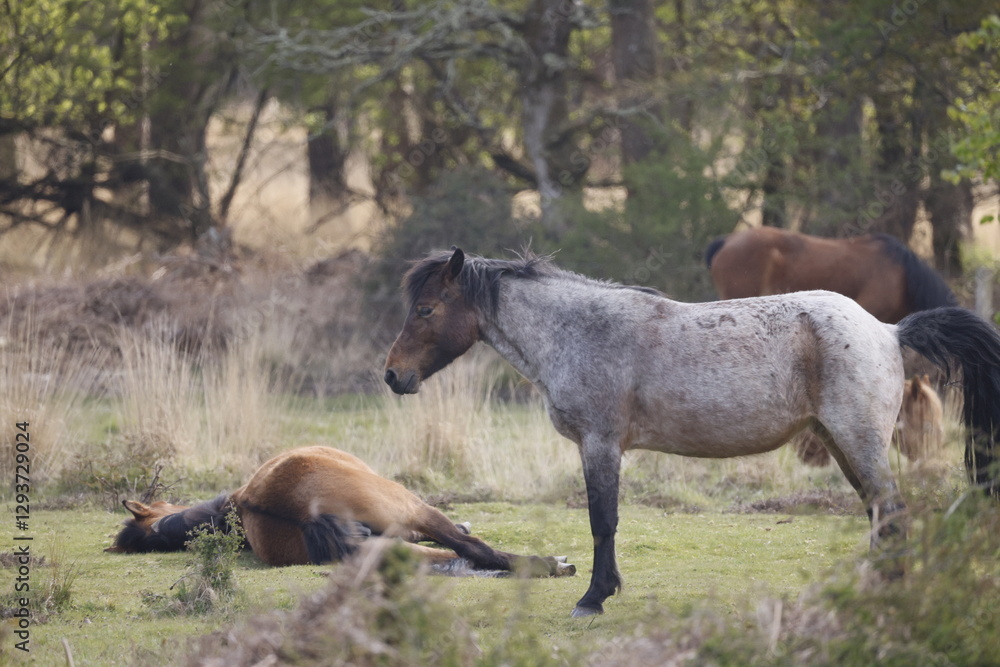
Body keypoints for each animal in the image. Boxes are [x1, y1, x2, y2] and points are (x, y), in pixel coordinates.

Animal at [383, 248, 1000, 617]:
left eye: (426, 308)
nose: (393, 375)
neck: (578, 330)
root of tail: (888, 331)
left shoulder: (600, 445)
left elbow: (602, 521)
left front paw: (593, 597)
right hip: (840, 442)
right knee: (879, 514)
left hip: (859, 442)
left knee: (891, 513)